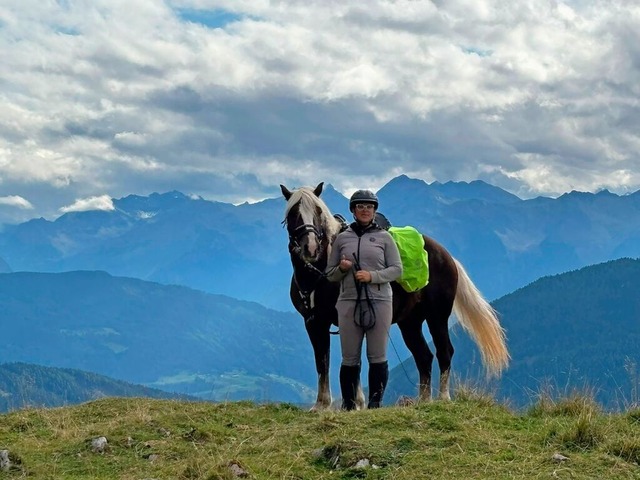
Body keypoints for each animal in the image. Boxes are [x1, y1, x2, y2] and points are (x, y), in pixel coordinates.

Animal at [280, 182, 509, 410]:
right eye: (293, 214)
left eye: (318, 212)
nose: (310, 248)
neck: (317, 274)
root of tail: (447, 256)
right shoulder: (314, 322)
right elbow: (324, 361)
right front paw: (334, 404)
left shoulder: (332, 321)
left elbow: (331, 361)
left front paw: (333, 403)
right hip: (410, 323)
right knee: (424, 356)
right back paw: (423, 400)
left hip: (437, 317)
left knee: (444, 351)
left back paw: (443, 397)